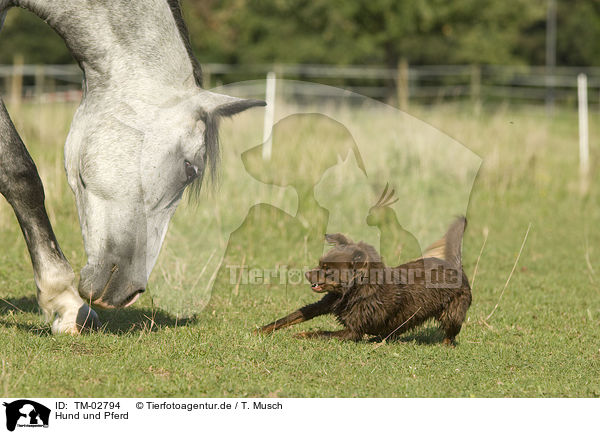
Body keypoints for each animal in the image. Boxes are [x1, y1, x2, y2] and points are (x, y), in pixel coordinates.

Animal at [255, 219, 472, 344]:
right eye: (320, 264)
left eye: (327, 269)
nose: (307, 274)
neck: (353, 291)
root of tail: (456, 266)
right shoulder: (322, 304)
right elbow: (290, 317)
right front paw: (260, 330)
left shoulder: (353, 332)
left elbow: (321, 333)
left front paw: (301, 336)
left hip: (452, 314)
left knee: (451, 335)